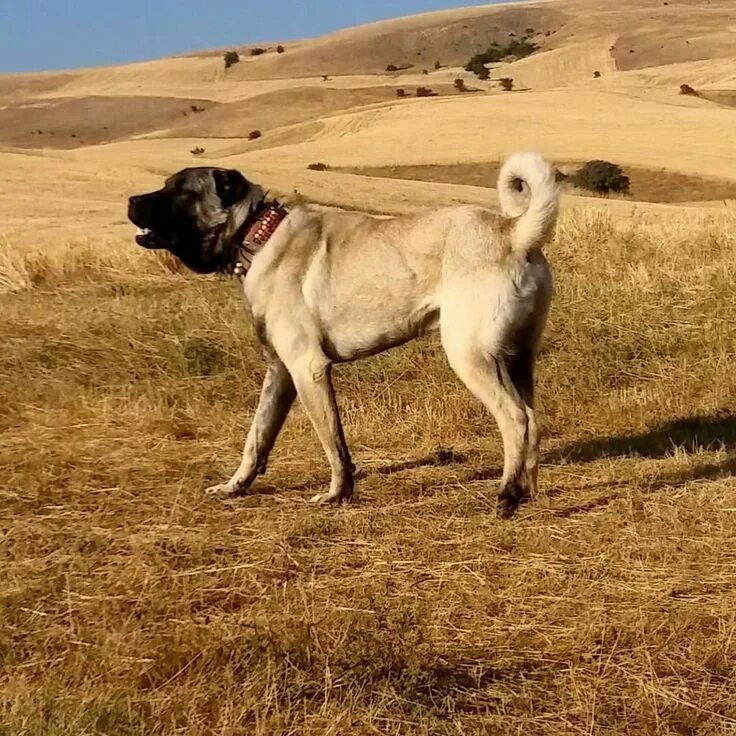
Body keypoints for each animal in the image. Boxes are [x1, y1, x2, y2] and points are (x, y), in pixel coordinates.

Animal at [129, 152, 560, 516]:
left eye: (181, 190)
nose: (132, 200)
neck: (258, 233)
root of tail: (512, 231)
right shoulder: (279, 373)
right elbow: (256, 437)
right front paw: (236, 486)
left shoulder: (308, 369)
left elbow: (331, 440)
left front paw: (338, 492)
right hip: (517, 358)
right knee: (532, 421)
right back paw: (528, 491)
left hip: (470, 356)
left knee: (514, 419)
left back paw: (507, 495)